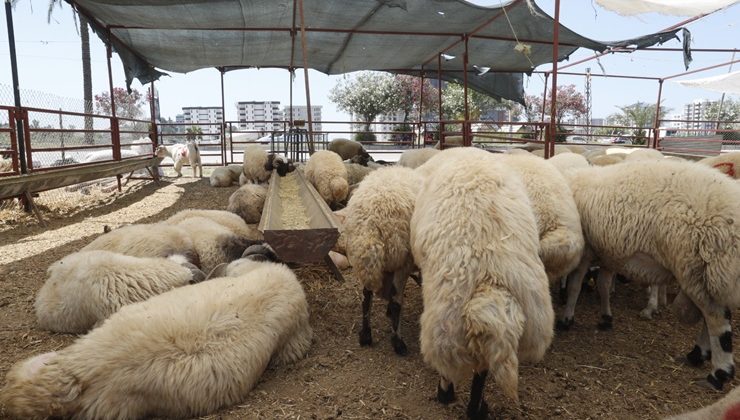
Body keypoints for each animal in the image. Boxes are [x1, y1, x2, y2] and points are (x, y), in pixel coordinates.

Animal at [336, 166, 422, 356]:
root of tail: (372, 221)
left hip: (365, 259)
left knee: (366, 296)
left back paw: (365, 335)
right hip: (401, 259)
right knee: (396, 301)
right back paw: (398, 342)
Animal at [560, 158, 740, 390]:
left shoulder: (587, 251)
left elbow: (574, 286)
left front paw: (567, 318)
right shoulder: (609, 253)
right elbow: (603, 286)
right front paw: (605, 318)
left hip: (694, 265)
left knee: (716, 318)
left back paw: (718, 372)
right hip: (708, 274)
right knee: (711, 316)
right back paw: (698, 355)